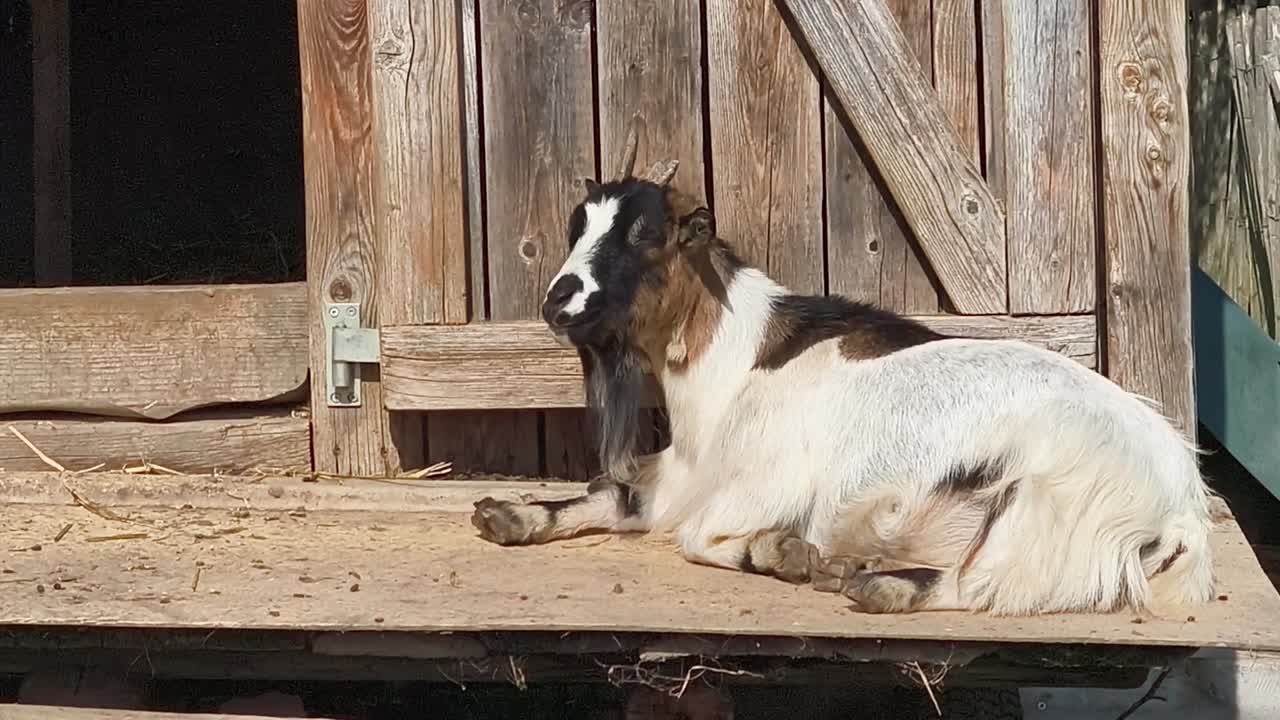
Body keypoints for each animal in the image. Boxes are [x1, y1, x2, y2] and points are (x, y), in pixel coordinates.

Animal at [470, 125, 1217, 617]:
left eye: (645, 234)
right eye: (577, 227)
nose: (557, 301)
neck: (732, 371)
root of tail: (1182, 497)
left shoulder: (767, 481)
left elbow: (697, 538)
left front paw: (788, 555)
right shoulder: (679, 475)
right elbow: (612, 493)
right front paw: (509, 515)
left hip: (1043, 504)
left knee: (982, 586)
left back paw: (870, 580)